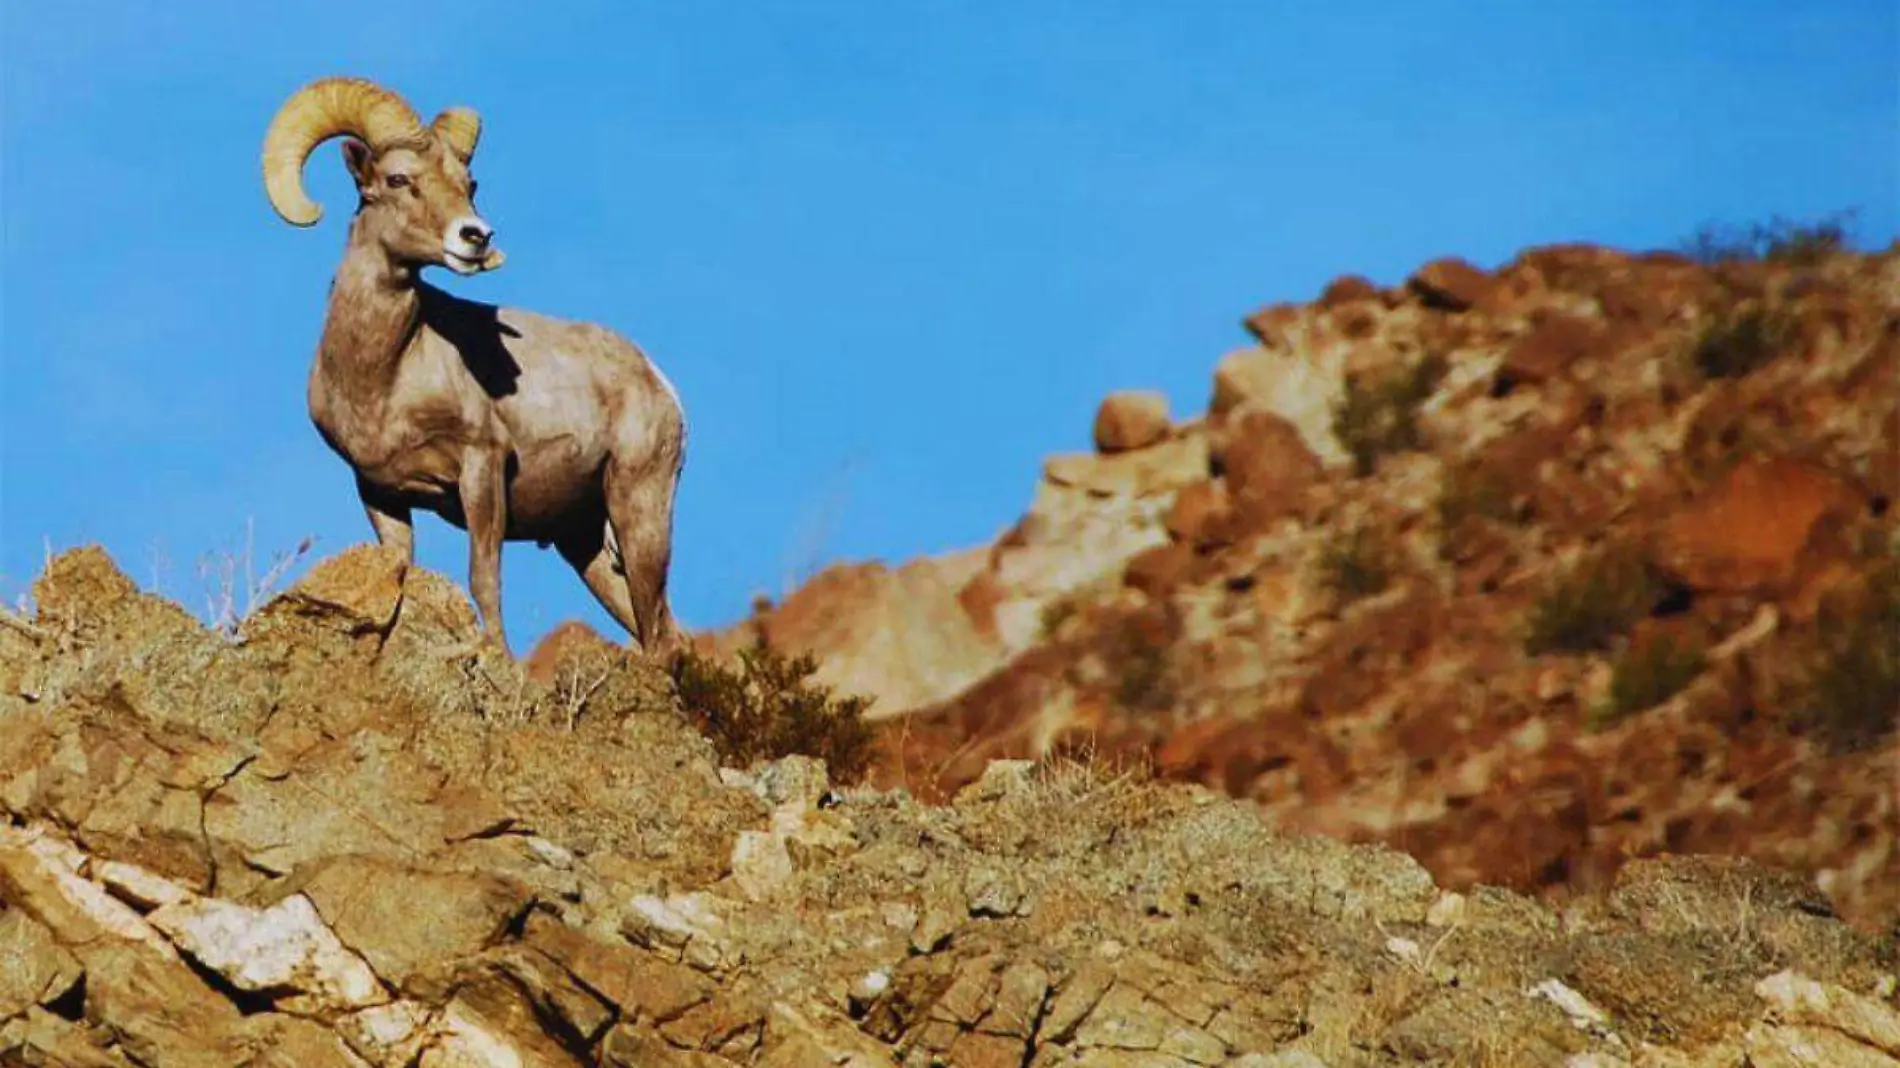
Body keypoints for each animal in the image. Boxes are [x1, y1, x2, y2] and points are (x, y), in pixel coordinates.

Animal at [262, 75, 684, 653]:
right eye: (398, 179)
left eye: (469, 183)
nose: (475, 237)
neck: (383, 378)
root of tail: (661, 385)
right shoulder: (379, 493)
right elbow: (400, 574)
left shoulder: (481, 467)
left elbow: (484, 579)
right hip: (587, 545)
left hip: (639, 511)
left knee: (660, 636)